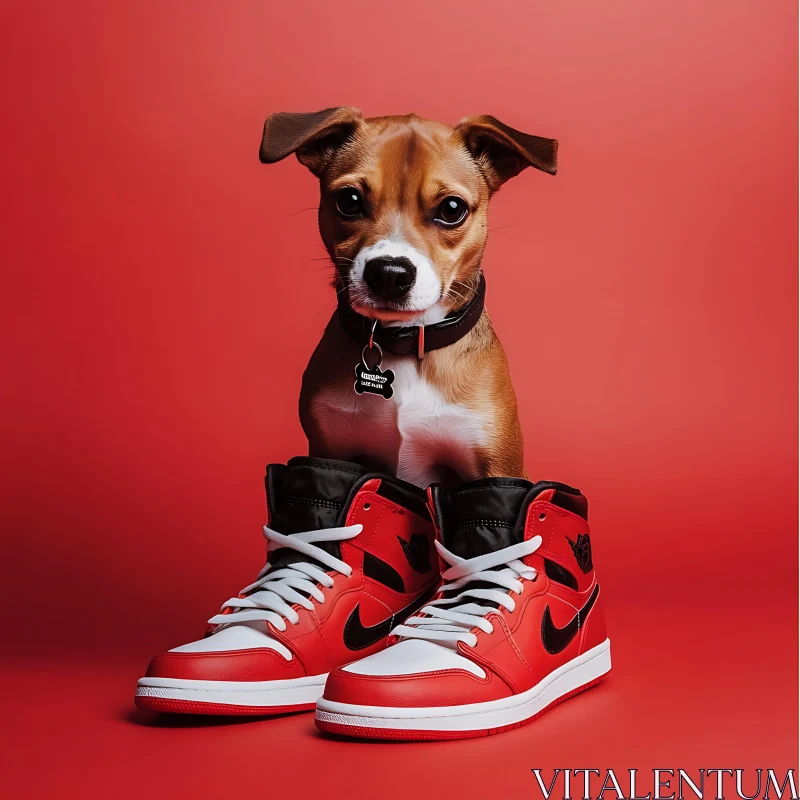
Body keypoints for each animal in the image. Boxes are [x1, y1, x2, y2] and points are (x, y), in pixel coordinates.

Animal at [258, 108, 556, 488]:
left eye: (452, 208)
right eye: (349, 201)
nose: (388, 273)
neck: (406, 346)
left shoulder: (495, 464)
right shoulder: (331, 449)